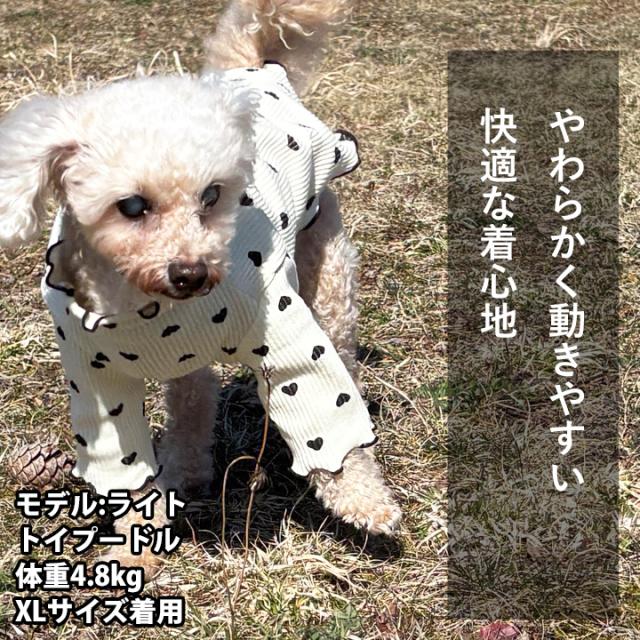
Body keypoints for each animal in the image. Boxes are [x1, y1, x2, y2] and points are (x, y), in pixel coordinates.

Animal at [0, 0, 401, 574]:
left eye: (212, 195)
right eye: (132, 206)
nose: (192, 273)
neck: (146, 307)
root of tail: (255, 69)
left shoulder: (284, 330)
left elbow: (325, 412)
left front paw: (365, 503)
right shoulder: (96, 380)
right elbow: (123, 460)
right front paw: (135, 548)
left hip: (327, 272)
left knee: (338, 343)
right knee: (194, 397)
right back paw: (186, 470)